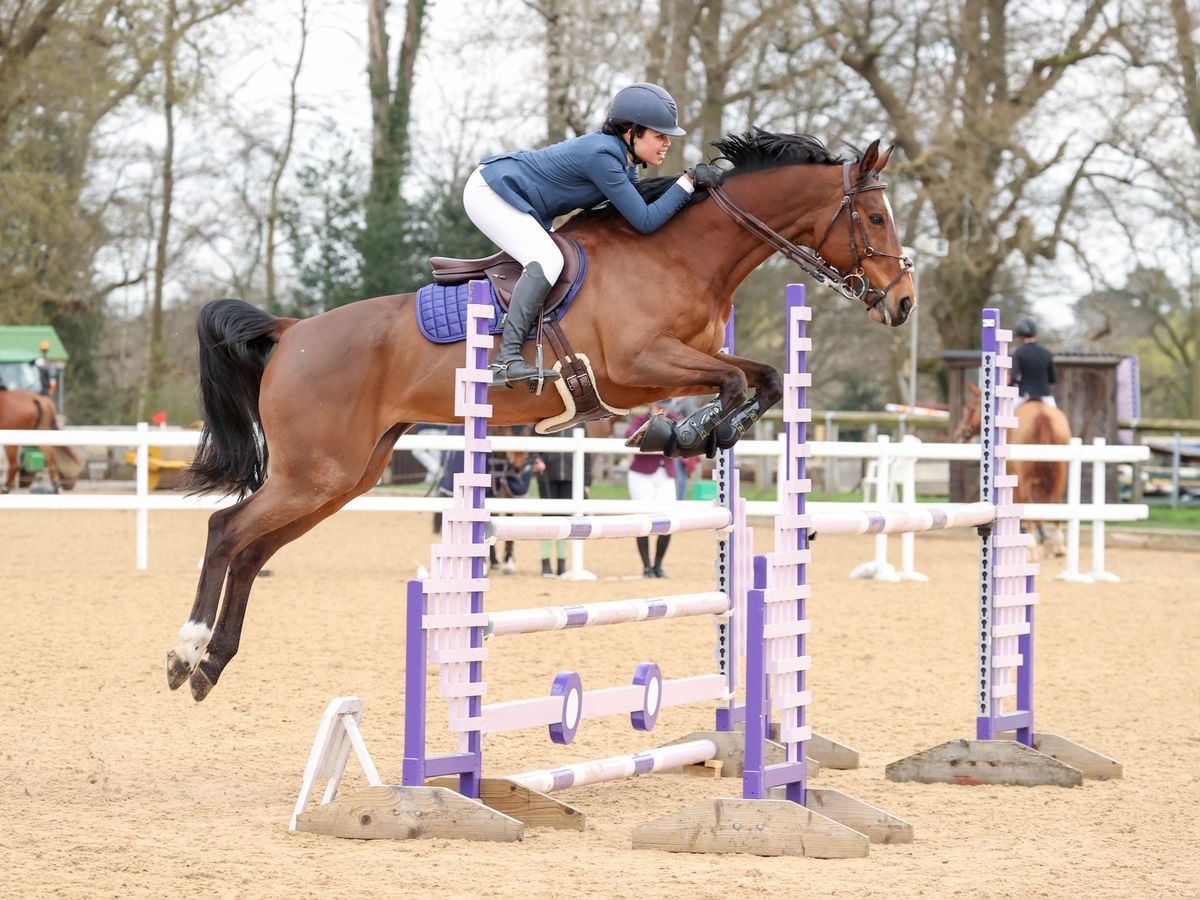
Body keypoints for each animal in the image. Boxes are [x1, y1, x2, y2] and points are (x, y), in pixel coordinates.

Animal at [166, 130, 916, 700]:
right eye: (877, 218)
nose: (904, 303)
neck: (682, 252)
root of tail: (291, 331)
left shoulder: (689, 358)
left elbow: (762, 378)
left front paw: (699, 431)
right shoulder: (640, 365)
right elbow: (737, 381)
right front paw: (688, 431)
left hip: (346, 476)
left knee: (253, 549)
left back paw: (212, 665)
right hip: (314, 473)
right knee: (226, 531)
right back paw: (186, 651)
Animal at [960, 381, 1075, 556]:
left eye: (970, 407)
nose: (960, 433)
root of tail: (1042, 415)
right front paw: (1045, 538)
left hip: (1025, 476)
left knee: (1027, 501)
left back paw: (1032, 545)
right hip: (1060, 473)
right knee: (1055, 501)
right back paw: (1058, 546)